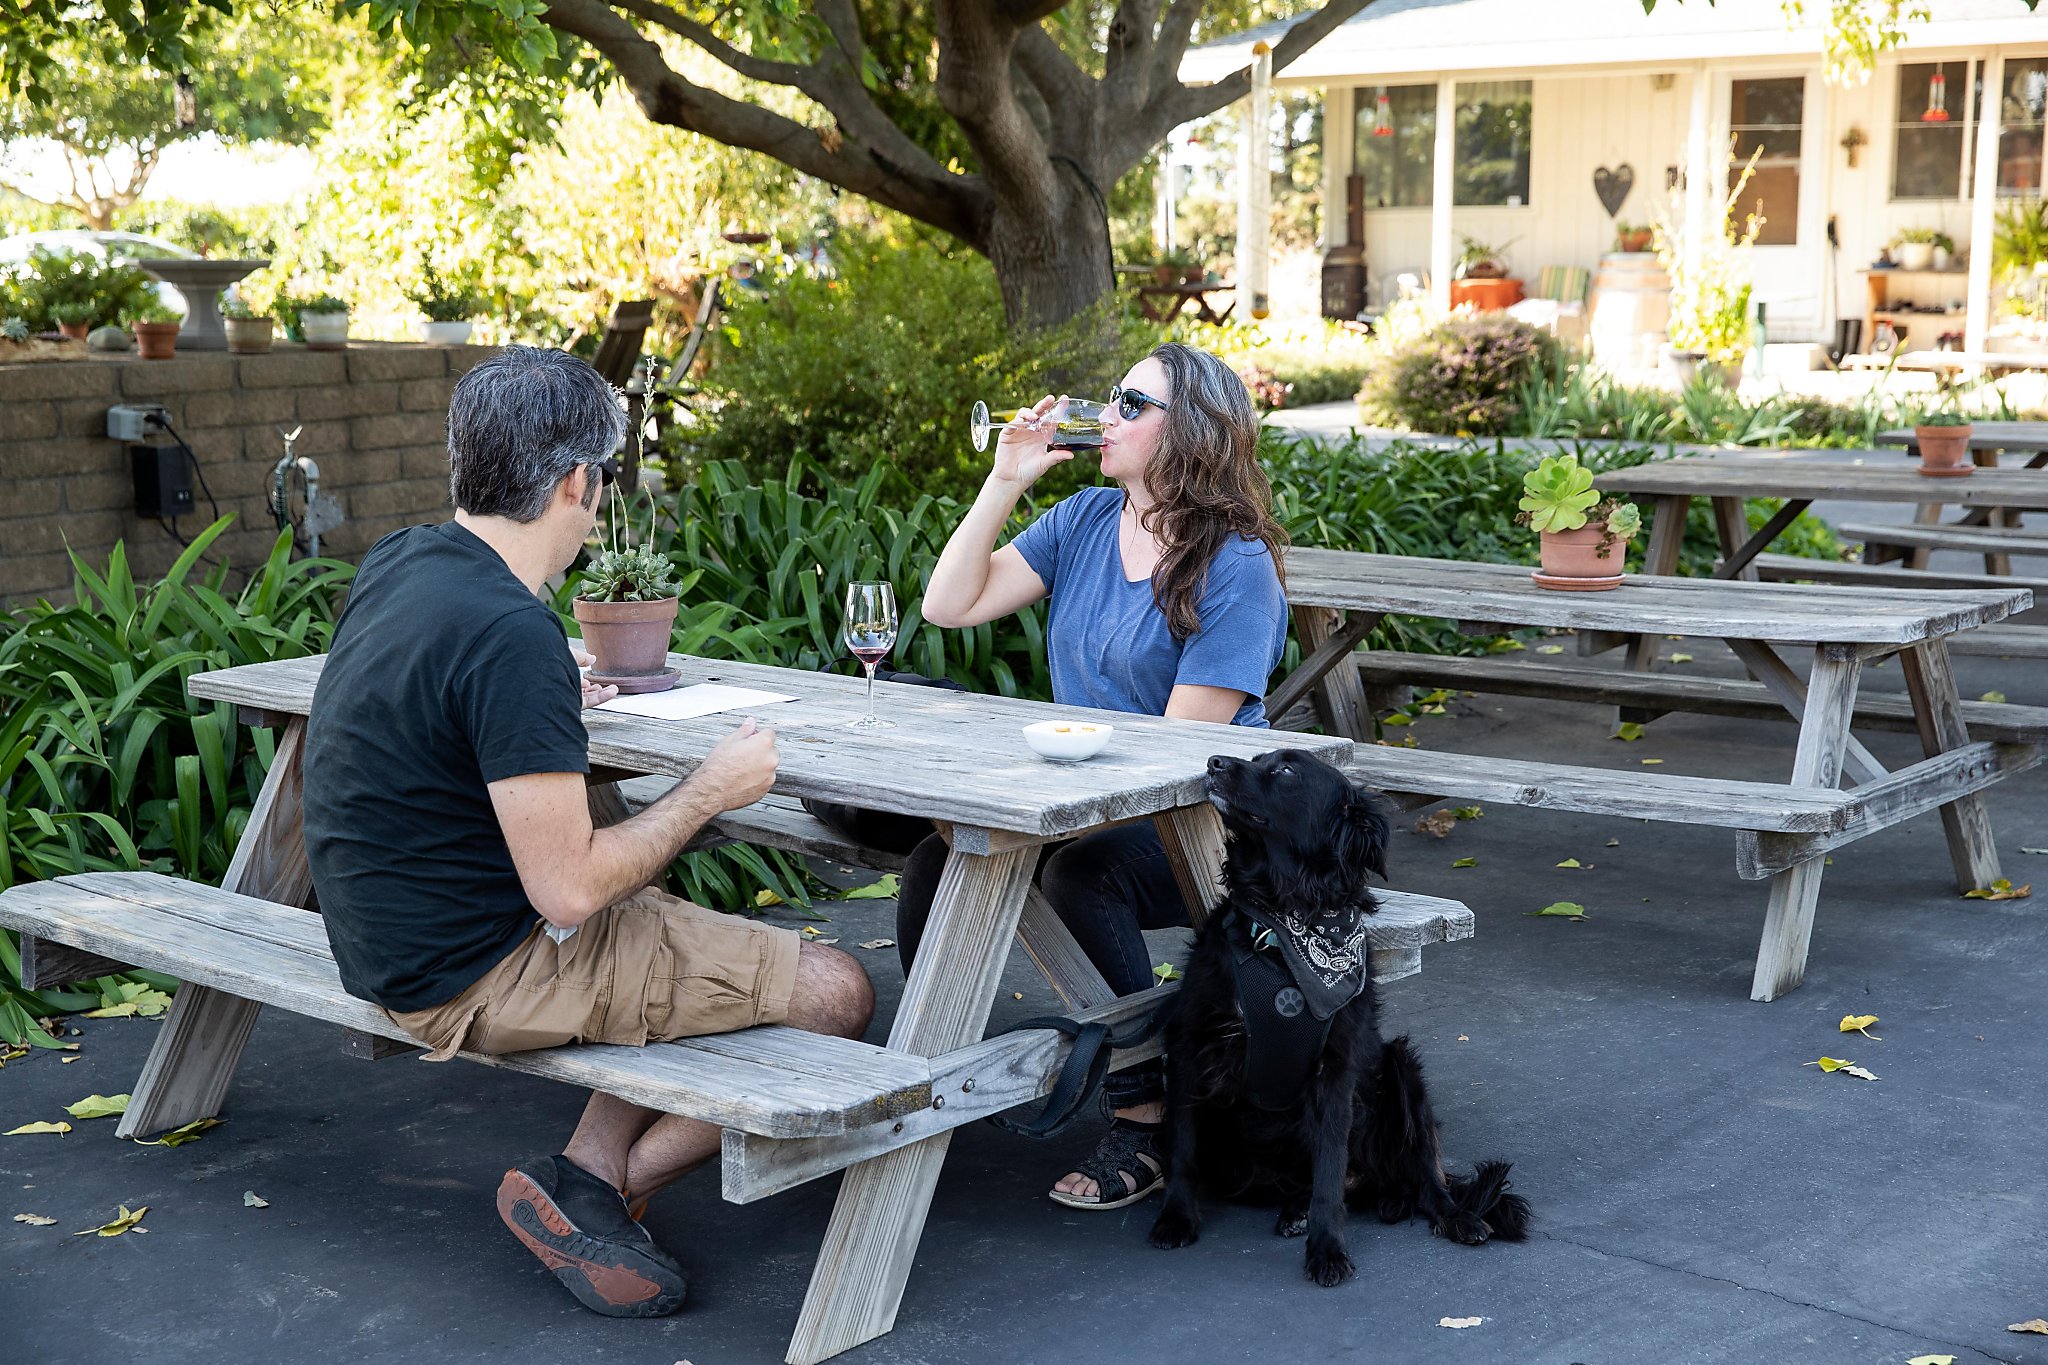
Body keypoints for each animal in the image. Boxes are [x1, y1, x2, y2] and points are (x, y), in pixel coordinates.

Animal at [1155, 753, 1523, 1285]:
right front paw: (1177, 1218)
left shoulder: (1337, 1069)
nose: (1214, 761)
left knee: (1425, 1179)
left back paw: (1456, 1216)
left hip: (1400, 1067)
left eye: (1286, 772)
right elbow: (1182, 1149)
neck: (1283, 923)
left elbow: (1328, 1170)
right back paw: (1294, 1211)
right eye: (1259, 759)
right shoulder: (1190, 1046)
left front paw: (1327, 1248)